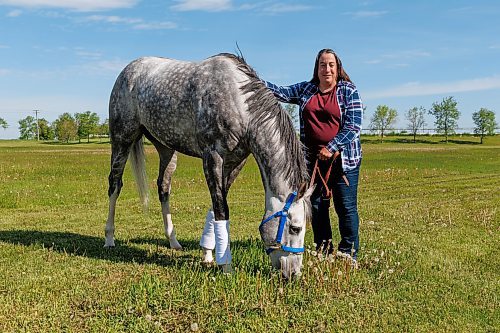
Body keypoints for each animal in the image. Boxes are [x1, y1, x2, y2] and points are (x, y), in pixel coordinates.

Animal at [104, 53, 312, 278]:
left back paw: (173, 241)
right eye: (295, 228)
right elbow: (222, 209)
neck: (239, 102)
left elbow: (217, 204)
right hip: (122, 140)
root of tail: (129, 69)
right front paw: (226, 265)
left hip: (166, 149)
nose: (294, 274)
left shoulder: (235, 162)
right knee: (115, 185)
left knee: (163, 189)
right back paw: (109, 238)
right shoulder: (212, 156)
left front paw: (208, 254)